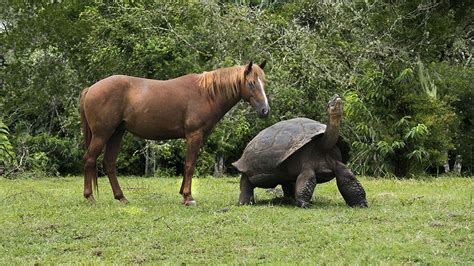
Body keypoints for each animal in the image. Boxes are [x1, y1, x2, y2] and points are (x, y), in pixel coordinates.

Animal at [79, 60, 268, 206]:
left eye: (264, 83)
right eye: (251, 83)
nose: (265, 110)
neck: (206, 94)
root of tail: (91, 88)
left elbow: (187, 165)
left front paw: (183, 194)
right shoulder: (194, 135)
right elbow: (190, 165)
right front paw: (188, 197)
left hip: (117, 133)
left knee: (109, 163)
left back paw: (121, 198)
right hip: (102, 134)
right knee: (89, 159)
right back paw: (89, 197)